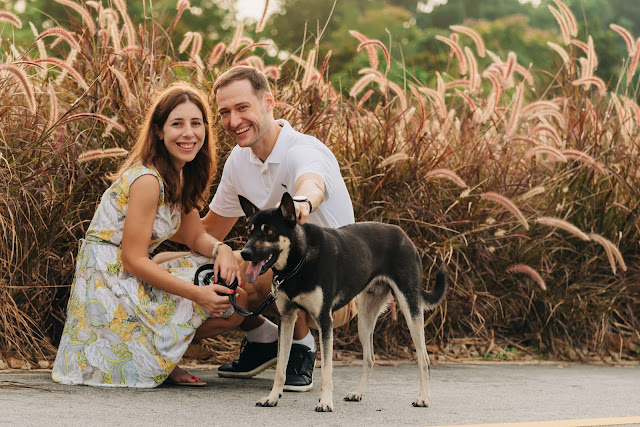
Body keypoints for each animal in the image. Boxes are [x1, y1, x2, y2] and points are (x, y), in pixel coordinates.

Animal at [238, 193, 448, 412]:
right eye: (250, 231)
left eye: (269, 231)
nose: (244, 253)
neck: (299, 261)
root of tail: (404, 236)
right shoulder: (286, 319)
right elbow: (280, 366)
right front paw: (272, 398)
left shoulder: (324, 321)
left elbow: (326, 370)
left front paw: (325, 402)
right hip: (364, 320)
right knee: (369, 358)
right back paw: (358, 393)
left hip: (410, 308)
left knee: (423, 358)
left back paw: (423, 397)